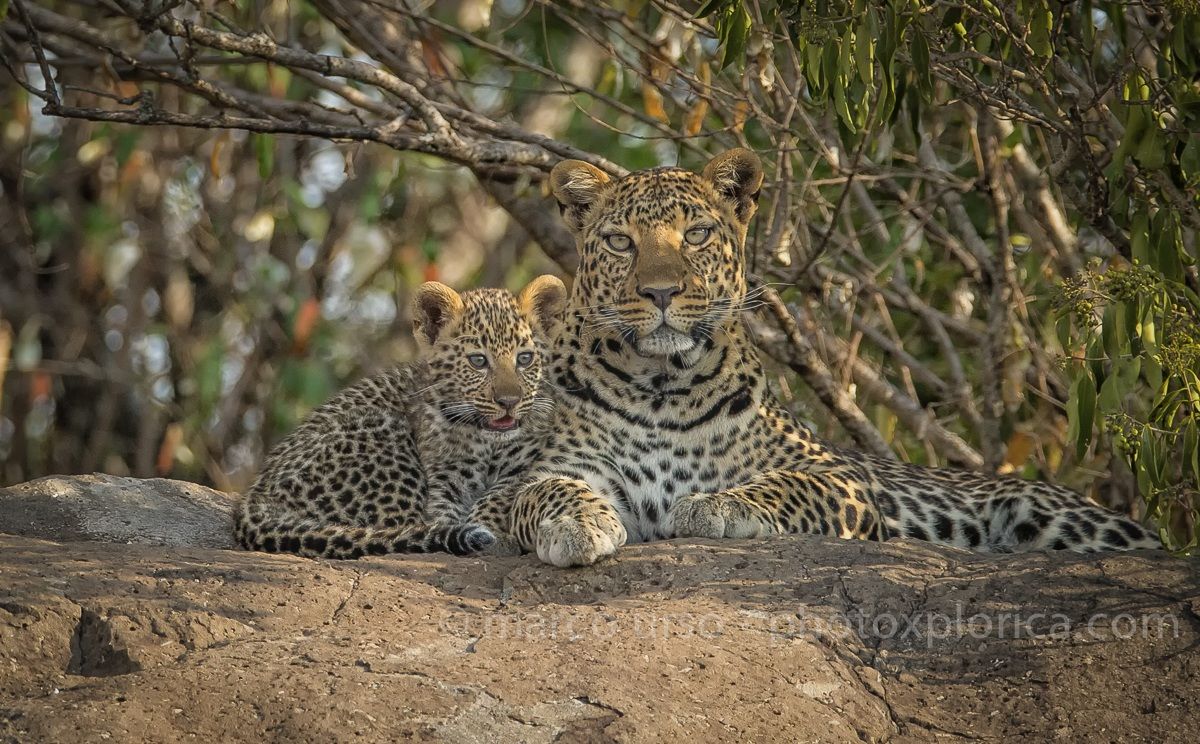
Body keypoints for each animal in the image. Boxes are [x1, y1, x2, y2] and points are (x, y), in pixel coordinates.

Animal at [233, 275, 566, 559]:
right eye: (478, 361)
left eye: (525, 359)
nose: (509, 402)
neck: (487, 441)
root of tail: (255, 500)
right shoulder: (444, 478)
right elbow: (442, 514)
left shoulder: (524, 464)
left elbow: (499, 495)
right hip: (385, 434)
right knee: (394, 526)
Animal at [501, 148, 1161, 567]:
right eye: (620, 242)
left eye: (696, 236)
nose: (660, 292)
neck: (662, 386)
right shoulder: (542, 473)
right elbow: (541, 493)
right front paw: (575, 525)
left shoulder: (841, 477)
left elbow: (783, 486)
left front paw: (714, 505)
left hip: (1052, 512)